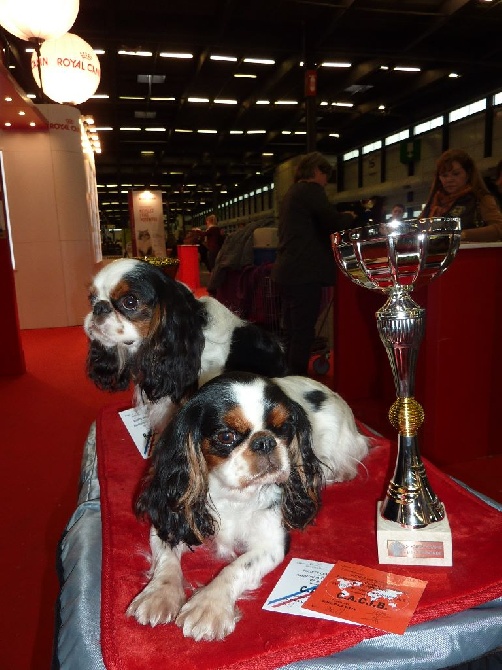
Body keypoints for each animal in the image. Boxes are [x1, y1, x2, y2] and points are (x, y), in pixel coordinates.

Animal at [125, 376, 368, 644]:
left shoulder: (271, 543)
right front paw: (158, 595)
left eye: (283, 428)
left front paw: (208, 605)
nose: (264, 441)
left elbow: (236, 567)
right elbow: (166, 560)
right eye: (226, 436)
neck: (234, 494)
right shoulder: (171, 520)